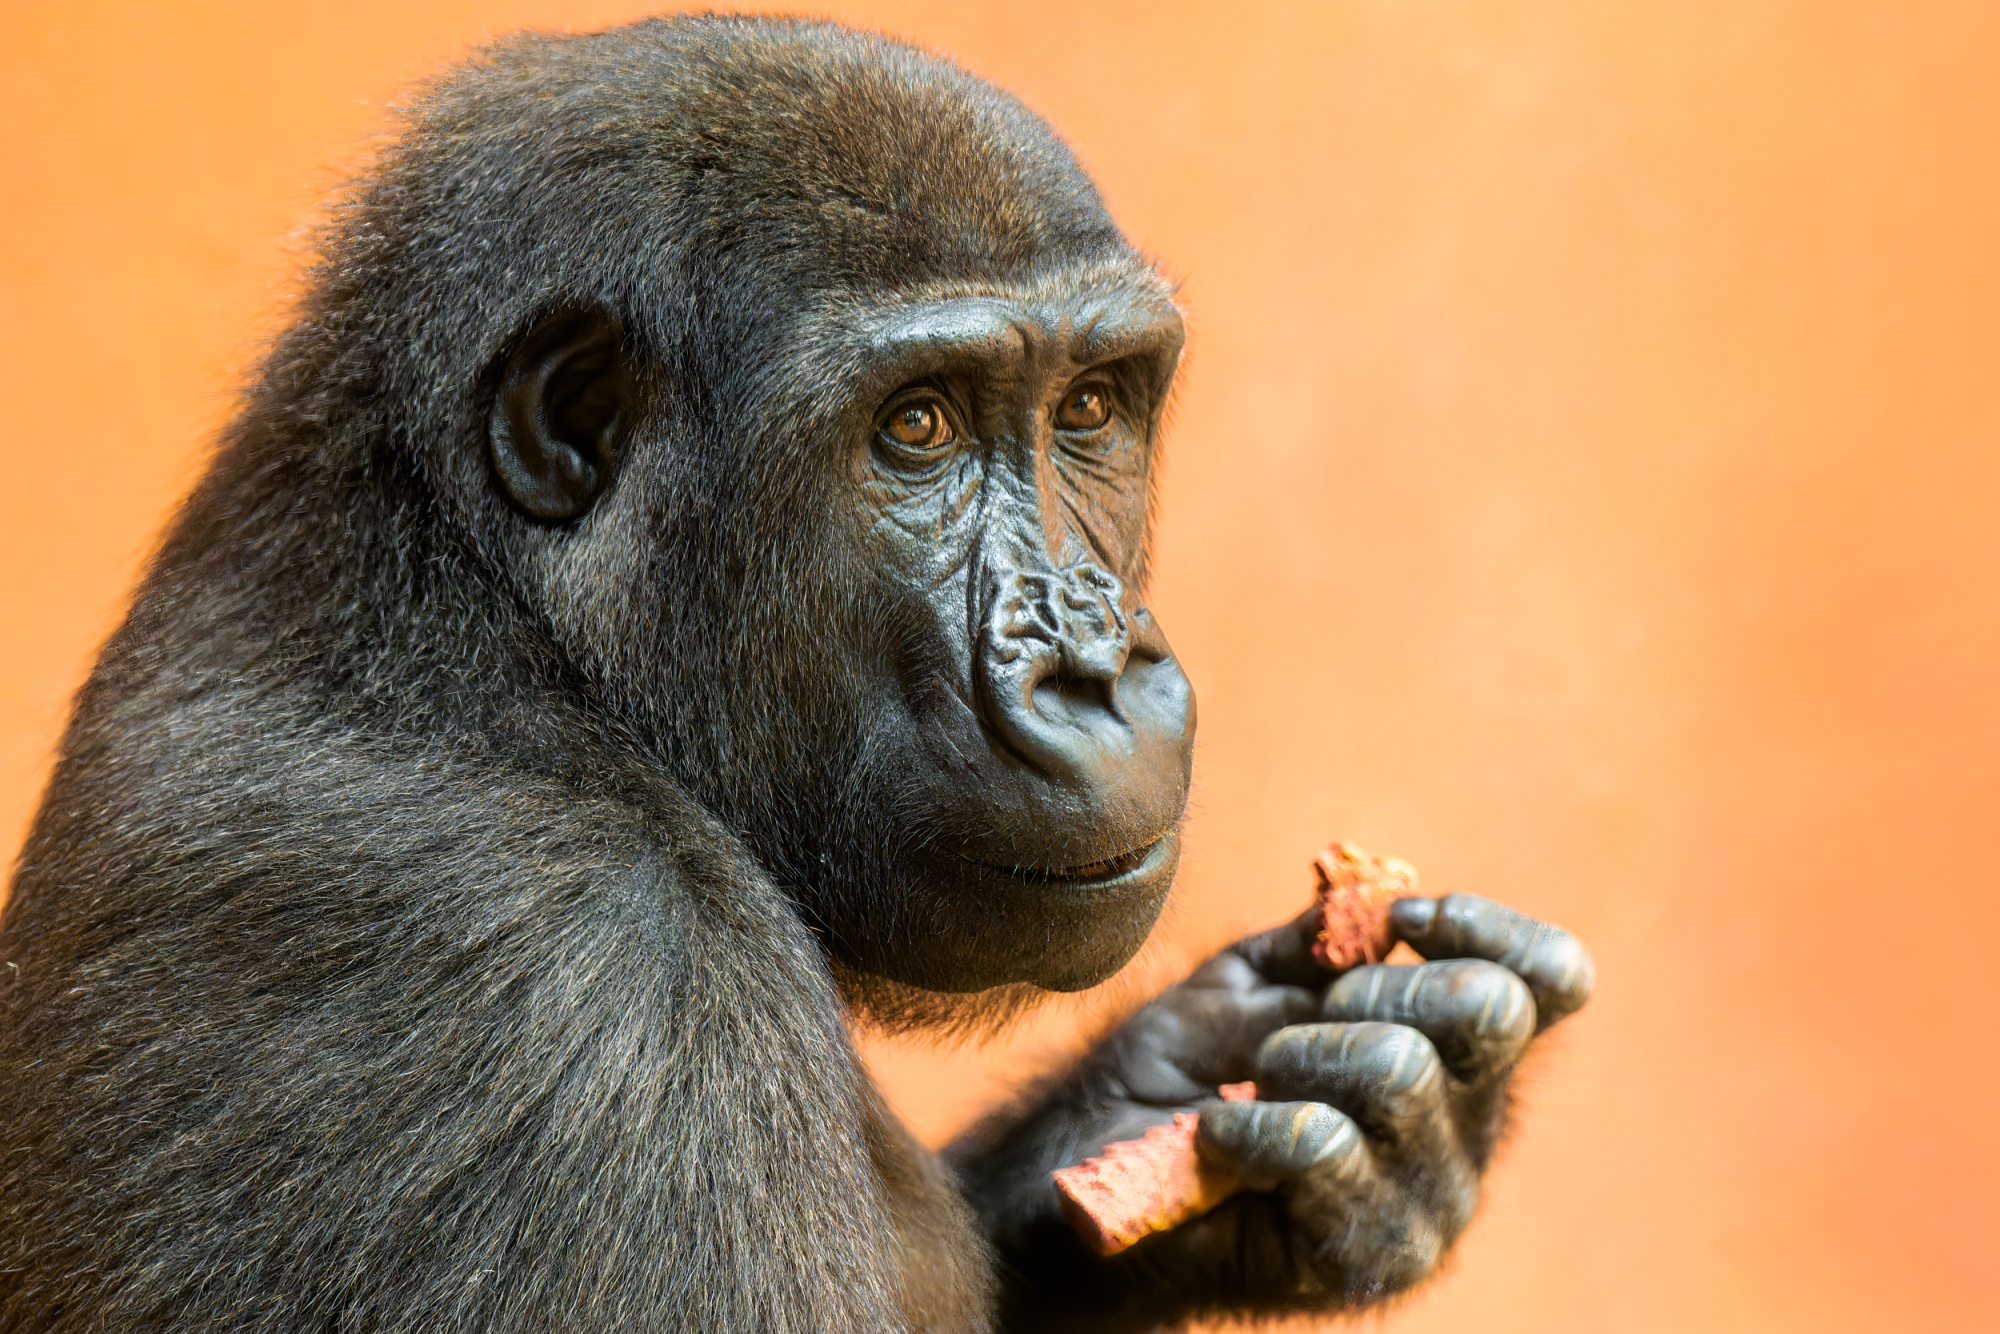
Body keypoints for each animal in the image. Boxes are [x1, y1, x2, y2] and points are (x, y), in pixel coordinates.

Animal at [0, 13, 1592, 1334]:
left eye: (1087, 407)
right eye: (916, 427)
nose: (1096, 661)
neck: (498, 624)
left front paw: (1176, 1098)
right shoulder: (581, 997)